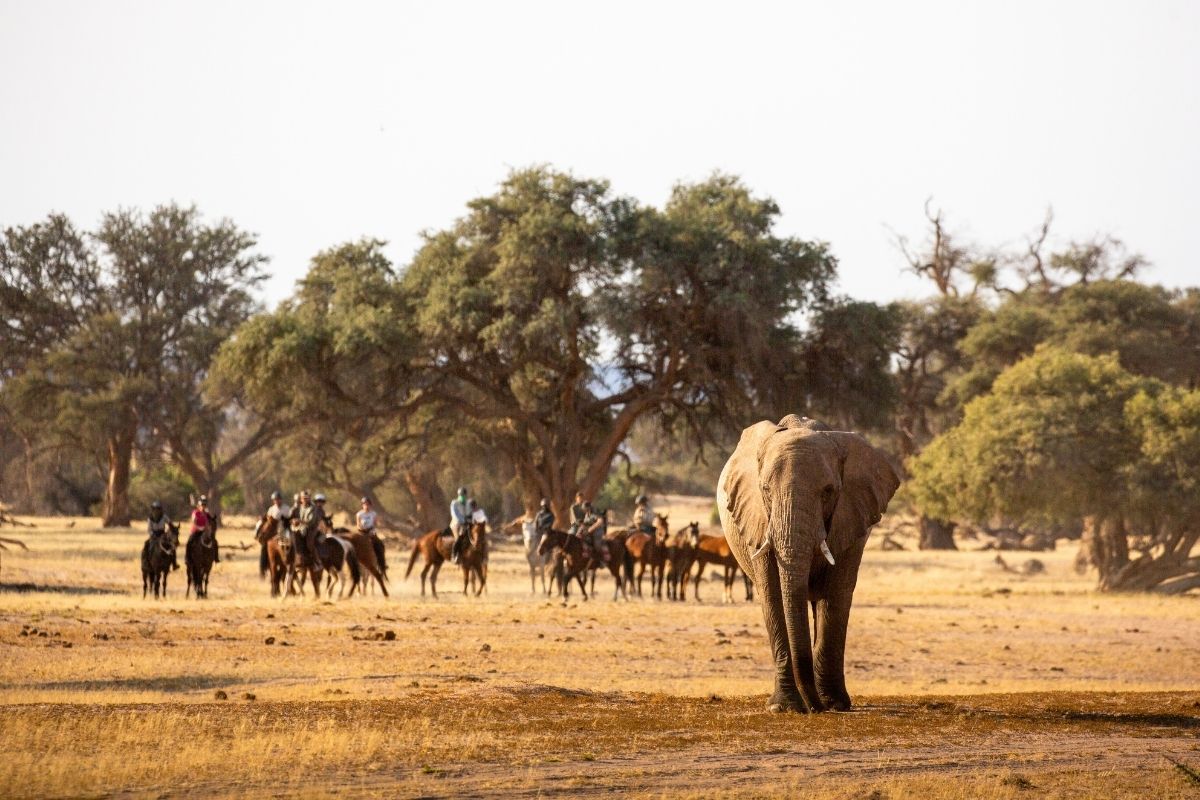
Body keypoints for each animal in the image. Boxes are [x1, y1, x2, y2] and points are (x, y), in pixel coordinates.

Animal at [717, 414, 899, 713]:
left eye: (828, 492)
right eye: (765, 490)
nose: (814, 709)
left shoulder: (851, 518)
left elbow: (835, 596)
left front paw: (835, 705)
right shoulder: (758, 521)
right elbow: (773, 596)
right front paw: (784, 708)